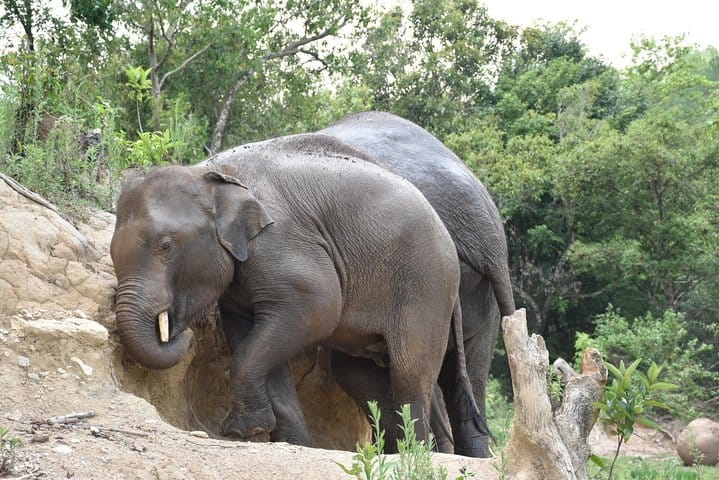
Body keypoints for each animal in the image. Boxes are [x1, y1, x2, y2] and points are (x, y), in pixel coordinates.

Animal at [110, 132, 478, 450]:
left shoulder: (282, 243)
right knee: (364, 376)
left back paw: (414, 453)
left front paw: (243, 431)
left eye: (166, 246)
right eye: (113, 253)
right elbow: (248, 337)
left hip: (425, 289)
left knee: (409, 376)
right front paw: (281, 439)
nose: (185, 336)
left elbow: (318, 309)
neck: (208, 174)